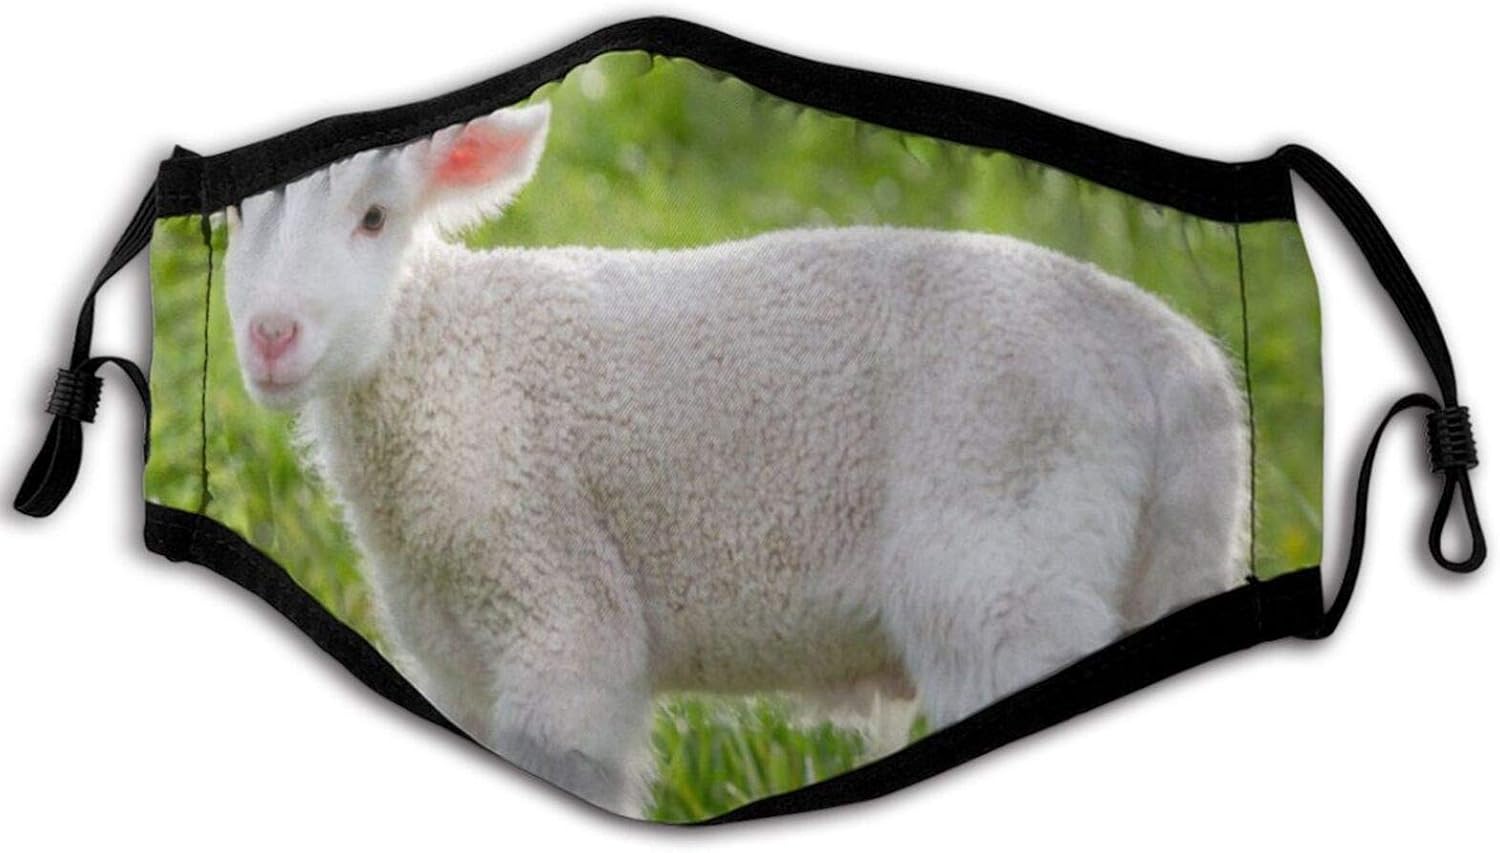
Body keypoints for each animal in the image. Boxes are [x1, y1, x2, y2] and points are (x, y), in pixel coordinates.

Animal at [222, 101, 1249, 816]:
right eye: (234, 224)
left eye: (375, 219)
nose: (271, 336)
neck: (443, 360)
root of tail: (1174, 361)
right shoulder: (455, 658)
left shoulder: (560, 614)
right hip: (1166, 558)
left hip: (1007, 563)